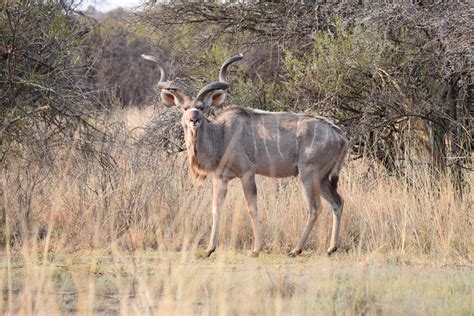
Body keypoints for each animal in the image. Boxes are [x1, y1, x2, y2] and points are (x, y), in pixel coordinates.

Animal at [141, 53, 348, 256]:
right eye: (184, 108)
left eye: (202, 107)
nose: (194, 119)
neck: (221, 135)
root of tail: (340, 136)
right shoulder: (220, 178)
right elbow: (216, 209)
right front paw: (209, 249)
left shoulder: (247, 173)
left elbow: (251, 208)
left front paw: (255, 249)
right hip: (321, 178)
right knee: (337, 202)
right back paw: (331, 248)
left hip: (308, 174)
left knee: (315, 208)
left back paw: (296, 249)